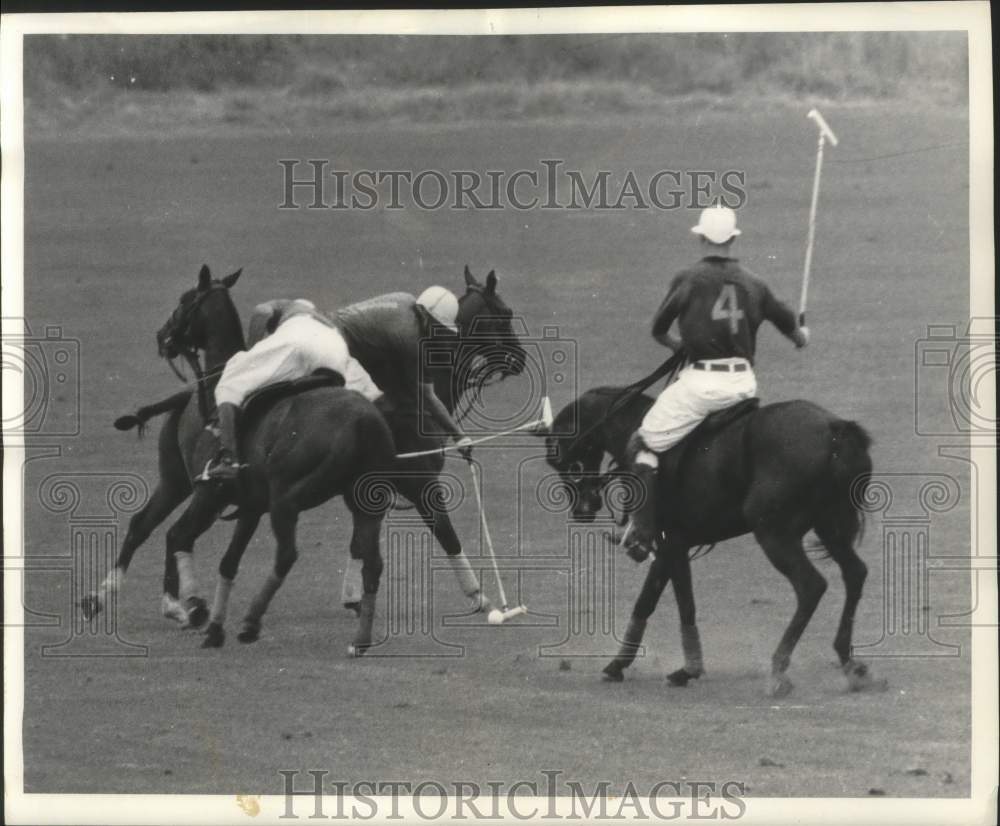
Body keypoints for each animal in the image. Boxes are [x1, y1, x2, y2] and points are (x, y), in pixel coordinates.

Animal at [544, 384, 880, 692]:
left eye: (561, 458)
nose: (582, 511)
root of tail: (836, 430)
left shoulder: (673, 544)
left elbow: (684, 603)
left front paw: (689, 670)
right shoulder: (668, 546)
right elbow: (646, 601)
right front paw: (618, 664)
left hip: (774, 533)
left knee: (810, 586)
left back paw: (778, 669)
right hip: (831, 528)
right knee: (855, 573)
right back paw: (850, 664)